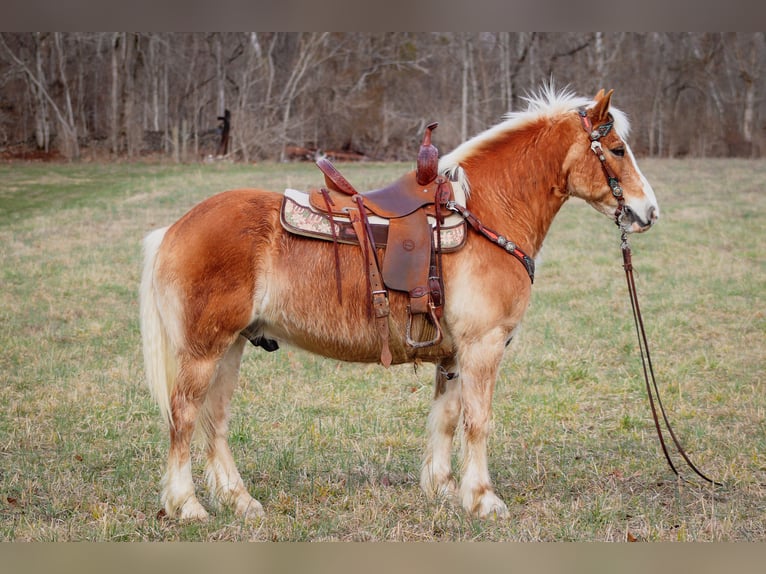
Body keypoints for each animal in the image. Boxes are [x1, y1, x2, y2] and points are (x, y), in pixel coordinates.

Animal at [140, 85, 660, 520]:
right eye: (617, 150)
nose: (648, 211)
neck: (488, 214)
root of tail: (174, 228)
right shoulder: (483, 347)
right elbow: (478, 421)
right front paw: (483, 498)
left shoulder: (454, 355)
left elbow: (447, 419)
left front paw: (445, 488)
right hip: (204, 352)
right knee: (184, 417)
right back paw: (187, 506)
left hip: (230, 347)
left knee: (215, 421)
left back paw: (239, 500)